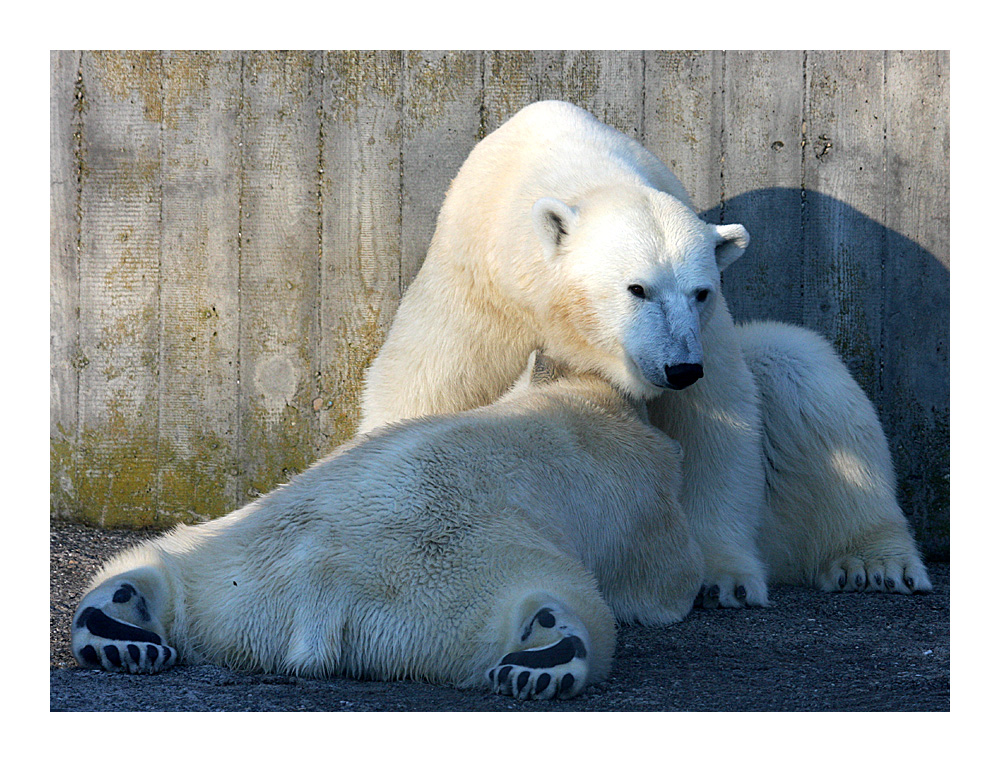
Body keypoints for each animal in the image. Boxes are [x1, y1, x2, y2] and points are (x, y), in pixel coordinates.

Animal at [72, 354, 704, 696]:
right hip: (454, 587)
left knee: (161, 559)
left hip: (233, 559)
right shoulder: (649, 499)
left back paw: (118, 625)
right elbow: (666, 582)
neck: (581, 402)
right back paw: (544, 655)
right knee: (561, 602)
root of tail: (319, 593)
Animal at [360, 99, 928, 604]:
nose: (681, 369)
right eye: (638, 288)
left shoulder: (707, 333)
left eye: (701, 291)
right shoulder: (481, 292)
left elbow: (714, 422)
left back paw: (878, 564)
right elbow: (424, 385)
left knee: (798, 367)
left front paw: (721, 580)